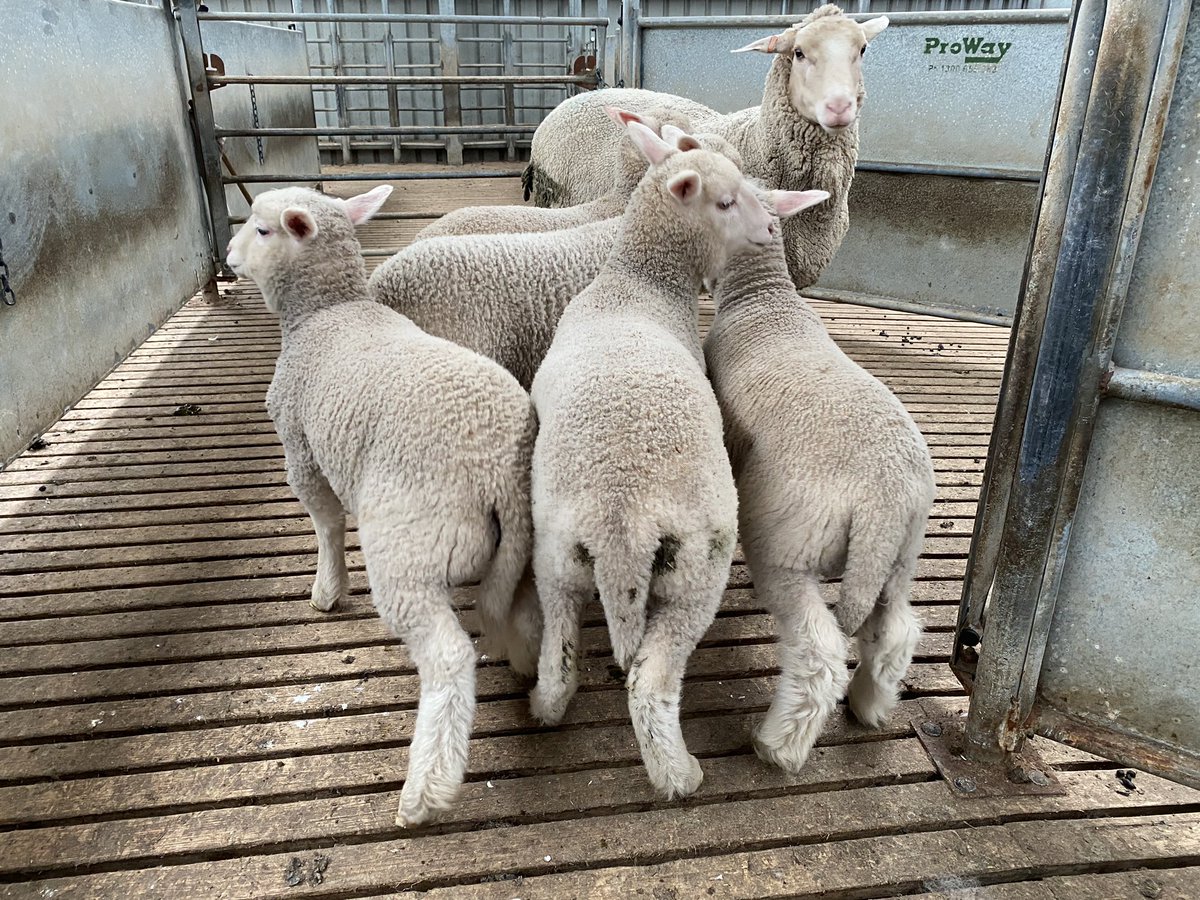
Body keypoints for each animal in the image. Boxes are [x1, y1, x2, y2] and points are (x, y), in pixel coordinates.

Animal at [225, 185, 539, 827]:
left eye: (263, 229)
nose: (227, 254)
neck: (328, 311)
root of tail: (497, 465)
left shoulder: (300, 448)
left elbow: (324, 522)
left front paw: (327, 590)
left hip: (408, 545)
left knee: (448, 659)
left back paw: (423, 793)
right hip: (523, 548)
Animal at [528, 120, 820, 799]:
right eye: (727, 201)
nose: (770, 232)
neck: (637, 285)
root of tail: (620, 526)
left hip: (555, 557)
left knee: (560, 656)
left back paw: (544, 710)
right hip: (695, 574)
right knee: (650, 683)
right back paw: (681, 775)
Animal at [702, 193, 936, 775]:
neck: (763, 299)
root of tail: (884, 497)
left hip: (788, 546)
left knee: (820, 651)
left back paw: (779, 745)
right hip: (899, 556)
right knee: (896, 632)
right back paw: (869, 704)